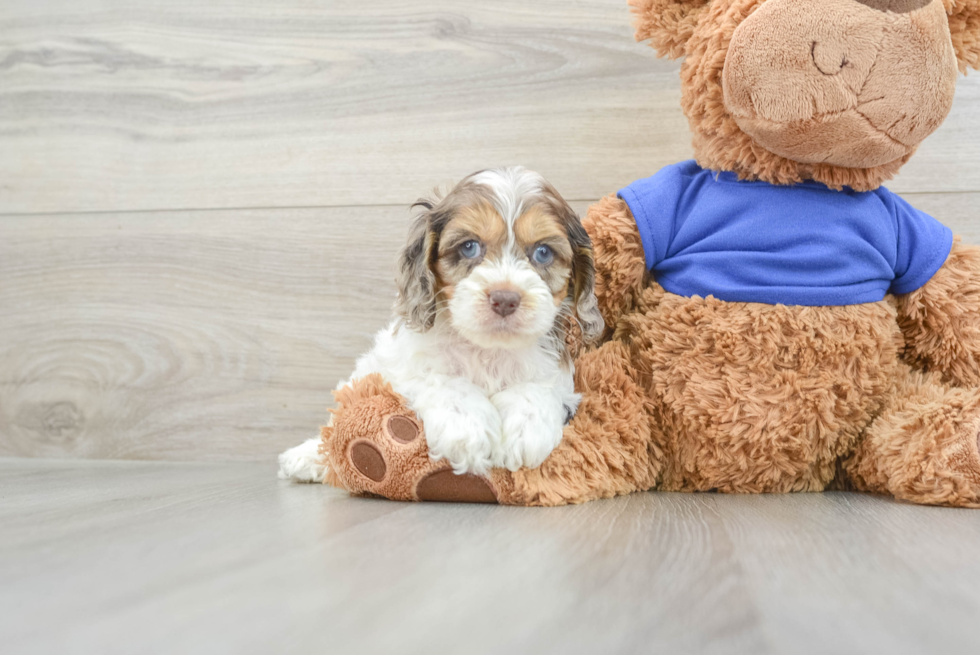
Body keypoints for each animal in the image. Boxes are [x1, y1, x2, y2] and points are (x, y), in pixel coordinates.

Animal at [276, 169, 608, 484]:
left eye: (543, 252)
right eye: (469, 247)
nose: (505, 299)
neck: (489, 349)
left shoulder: (555, 375)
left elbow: (536, 388)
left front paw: (526, 429)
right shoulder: (403, 367)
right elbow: (444, 381)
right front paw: (469, 429)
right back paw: (307, 458)